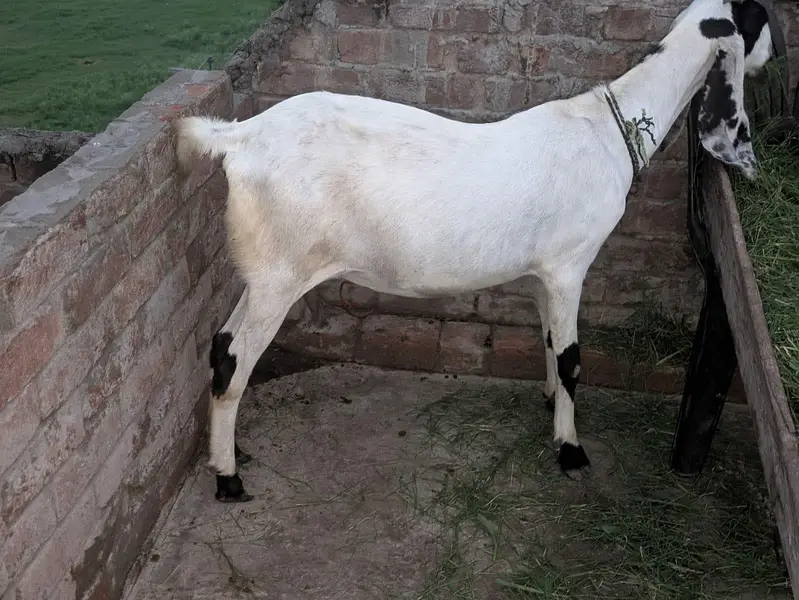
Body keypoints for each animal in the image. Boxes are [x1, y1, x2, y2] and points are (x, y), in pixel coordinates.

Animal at [175, 0, 774, 503]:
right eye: (760, 20)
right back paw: (228, 479)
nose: (774, 57)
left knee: (220, 345)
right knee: (236, 359)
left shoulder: (542, 274)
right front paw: (571, 450)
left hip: (263, 272)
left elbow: (549, 343)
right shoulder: (569, 266)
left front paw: (549, 403)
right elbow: (573, 358)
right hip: (280, 270)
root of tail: (239, 138)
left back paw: (227, 455)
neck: (609, 128)